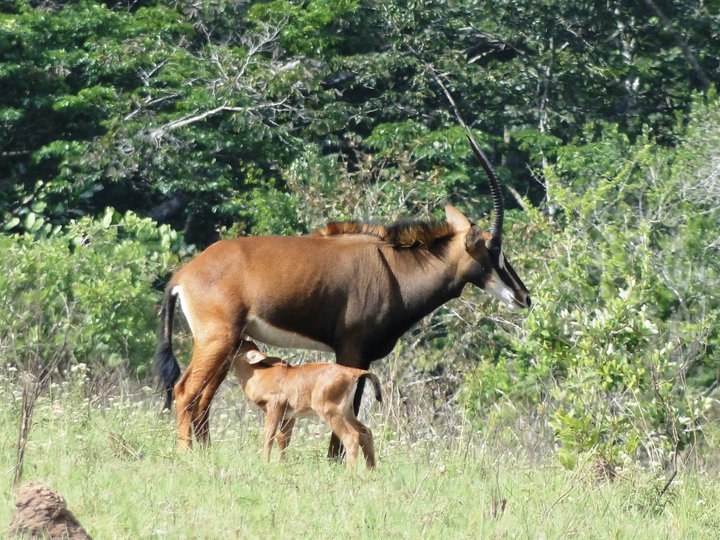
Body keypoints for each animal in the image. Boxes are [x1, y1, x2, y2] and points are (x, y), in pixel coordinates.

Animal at [154, 136, 531, 452]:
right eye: (494, 249)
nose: (524, 297)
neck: (396, 269)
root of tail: (183, 274)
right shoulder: (353, 350)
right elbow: (349, 410)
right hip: (217, 339)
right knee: (186, 392)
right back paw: (188, 457)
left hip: (229, 344)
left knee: (202, 399)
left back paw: (206, 455)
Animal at [233, 340, 381, 468]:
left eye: (239, 345)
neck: (260, 374)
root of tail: (353, 372)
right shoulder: (289, 416)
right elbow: (283, 439)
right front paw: (282, 465)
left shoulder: (275, 406)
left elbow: (269, 435)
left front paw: (265, 463)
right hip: (347, 412)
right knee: (365, 432)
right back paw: (371, 470)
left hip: (330, 412)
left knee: (351, 437)